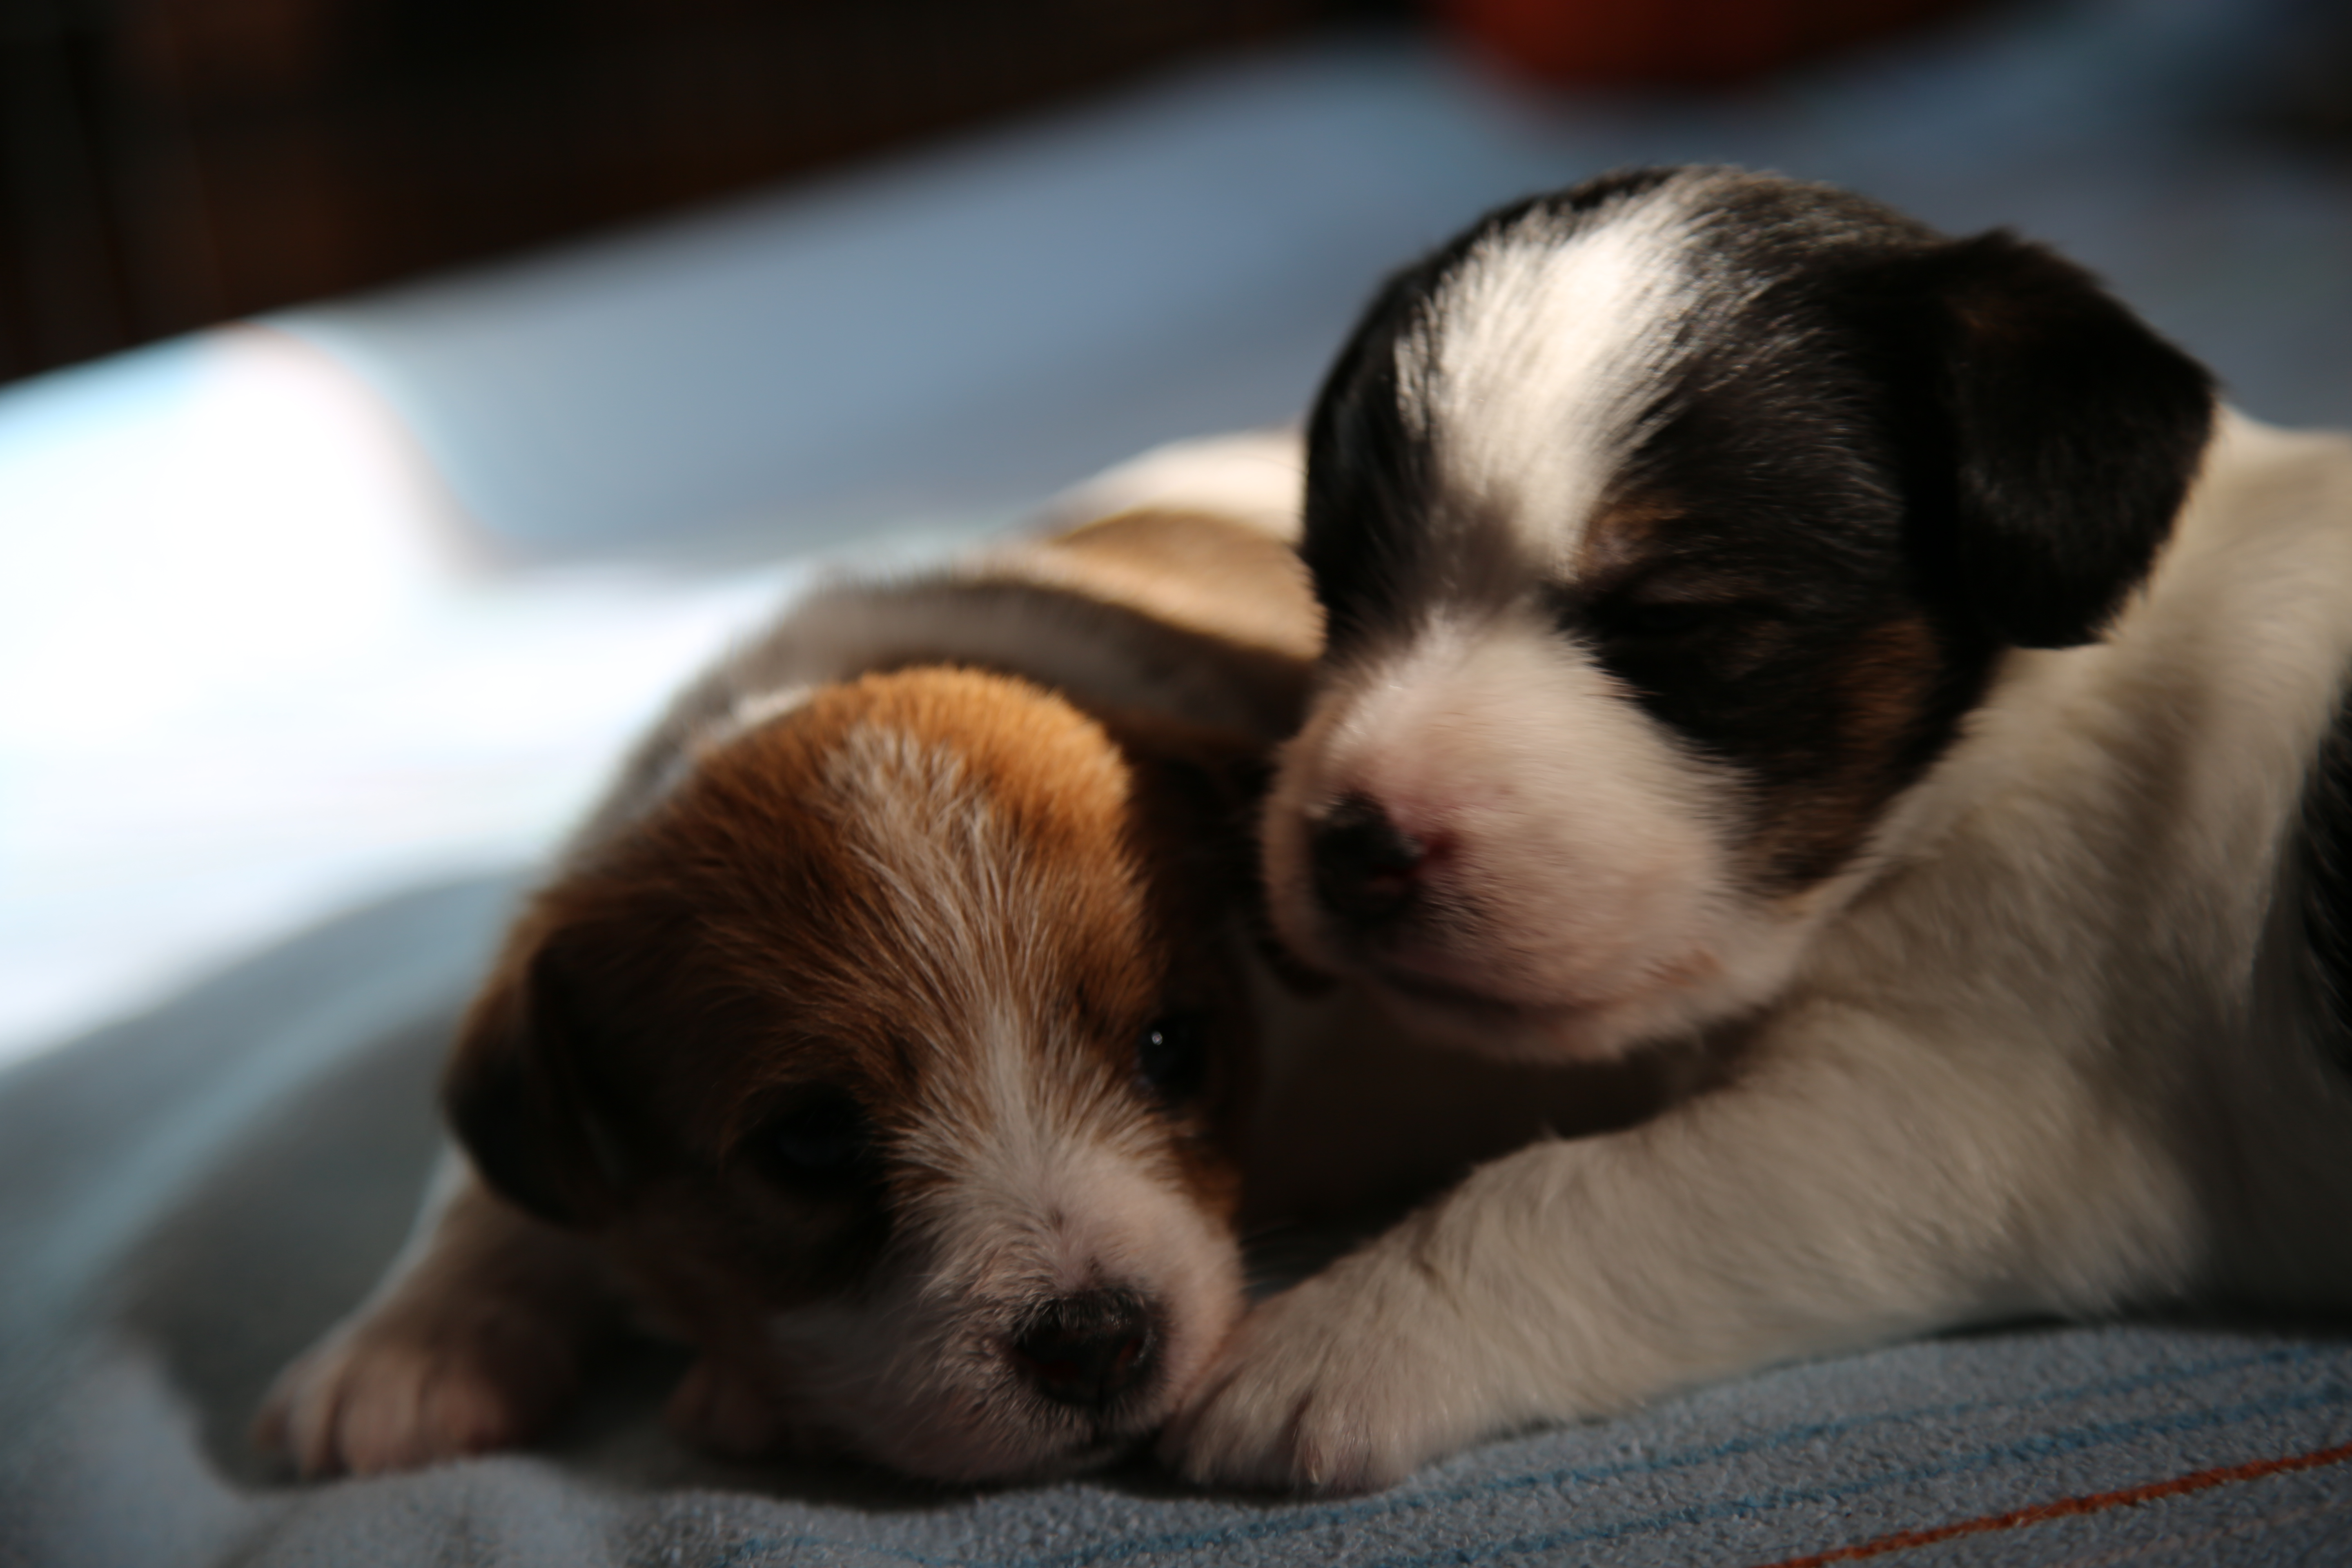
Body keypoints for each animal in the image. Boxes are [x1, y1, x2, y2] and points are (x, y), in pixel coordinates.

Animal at [1166, 165, 2352, 1492]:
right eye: (1332, 592)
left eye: (1674, 618)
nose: (1352, 846)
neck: (1997, 742)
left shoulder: (1951, 1116)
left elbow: (1569, 1189)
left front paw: (1341, 1330)